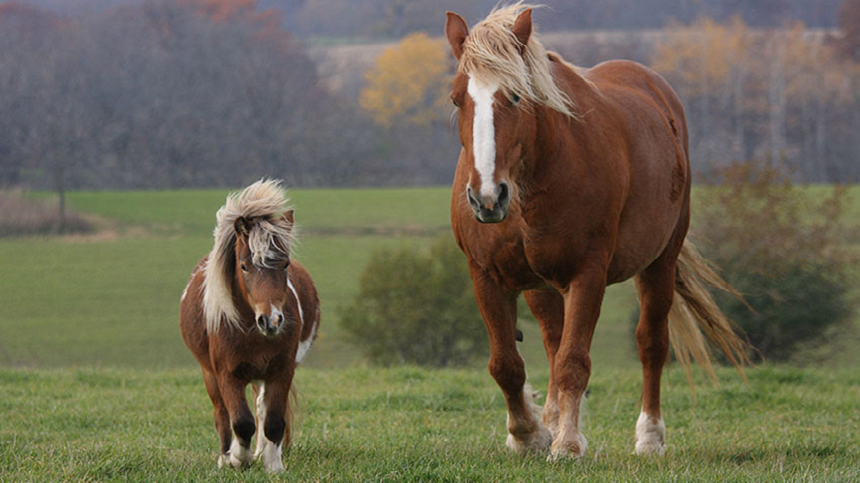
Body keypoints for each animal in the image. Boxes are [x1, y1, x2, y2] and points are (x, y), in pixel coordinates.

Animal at [181, 181, 320, 472]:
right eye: (244, 266)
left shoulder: (281, 371)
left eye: (285, 263)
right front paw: (237, 458)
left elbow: (273, 420)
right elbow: (241, 422)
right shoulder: (227, 375)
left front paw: (273, 465)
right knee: (222, 412)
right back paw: (225, 457)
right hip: (209, 374)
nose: (271, 320)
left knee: (261, 409)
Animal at [444, 2, 744, 458]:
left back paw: (649, 437)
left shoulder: (587, 275)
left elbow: (574, 362)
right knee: (552, 339)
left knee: (651, 343)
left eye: (515, 95)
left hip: (660, 262)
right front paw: (528, 434)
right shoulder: (487, 276)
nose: (486, 197)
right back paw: (551, 420)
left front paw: (566, 444)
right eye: (457, 98)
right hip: (539, 285)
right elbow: (507, 365)